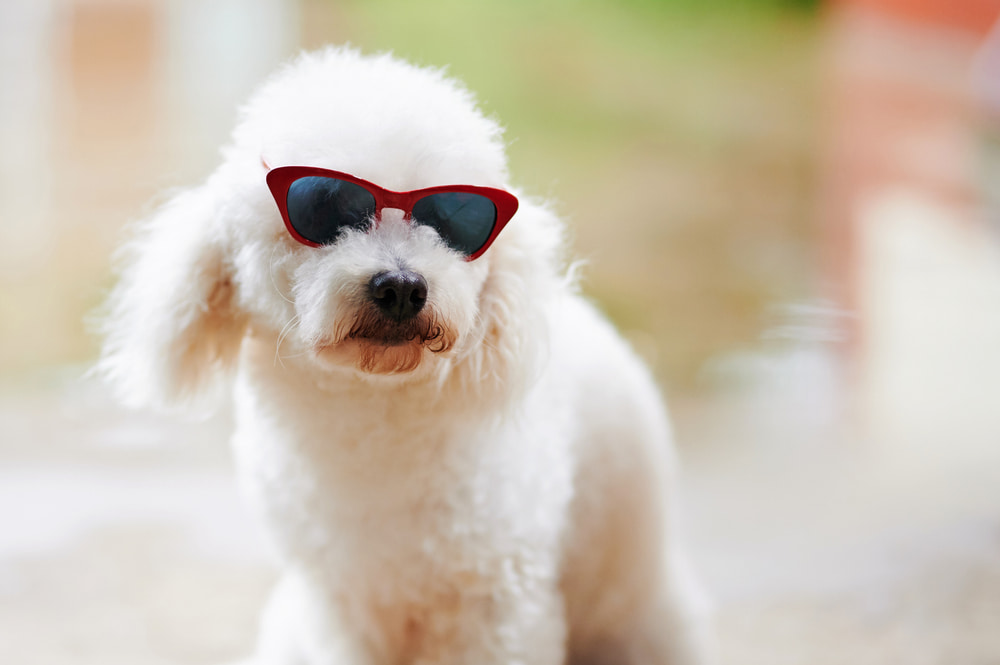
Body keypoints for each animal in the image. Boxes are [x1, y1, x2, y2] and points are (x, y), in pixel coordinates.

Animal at [99, 48, 712, 664]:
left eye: (453, 221)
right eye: (326, 209)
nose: (400, 287)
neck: (375, 411)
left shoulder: (496, 600)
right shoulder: (340, 604)